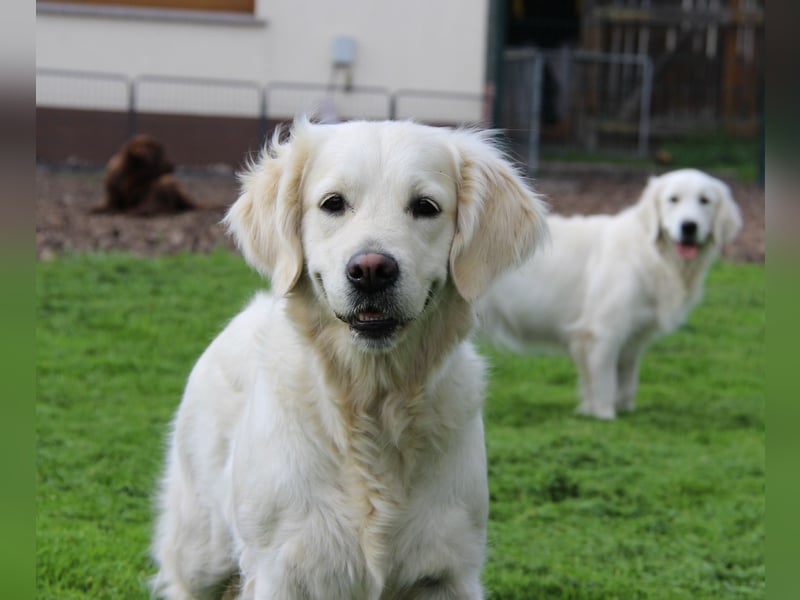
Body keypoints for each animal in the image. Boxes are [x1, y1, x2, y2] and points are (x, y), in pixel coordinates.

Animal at [150, 118, 548, 600]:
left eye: (425, 206)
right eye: (333, 203)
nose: (371, 270)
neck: (372, 405)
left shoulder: (446, 571)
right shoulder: (282, 567)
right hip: (202, 549)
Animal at [476, 168, 744, 422]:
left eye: (705, 200)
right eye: (673, 199)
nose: (689, 226)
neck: (652, 253)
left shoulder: (633, 339)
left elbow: (626, 381)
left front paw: (623, 410)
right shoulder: (602, 333)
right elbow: (605, 383)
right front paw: (604, 415)